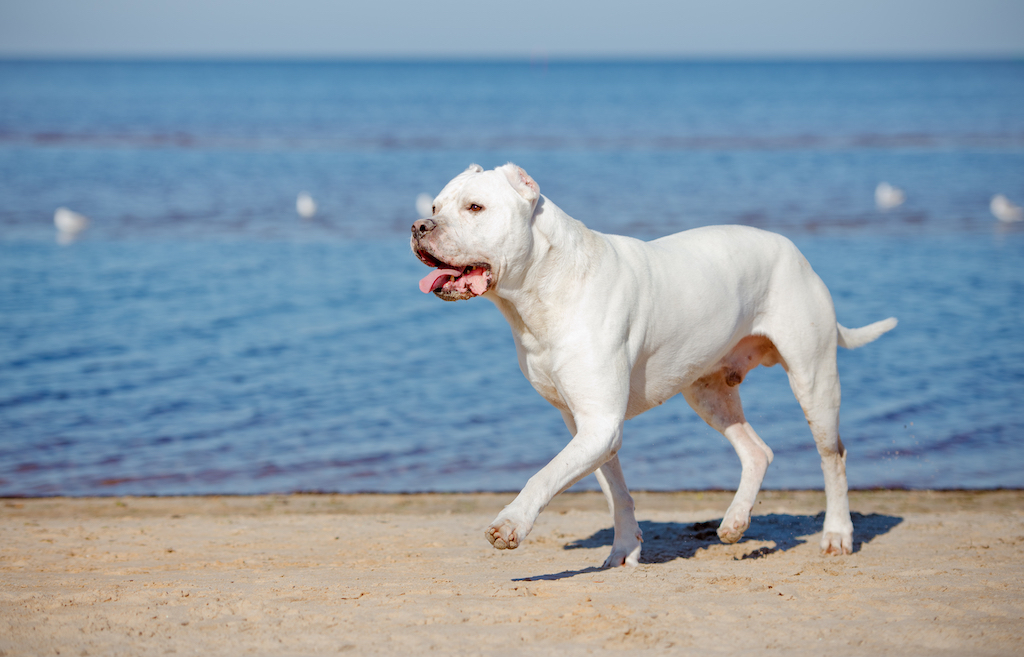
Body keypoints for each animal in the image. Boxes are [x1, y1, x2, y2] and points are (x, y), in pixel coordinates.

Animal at [411, 162, 892, 564]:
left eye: (475, 207)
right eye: (434, 206)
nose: (418, 225)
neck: (545, 288)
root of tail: (797, 252)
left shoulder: (600, 424)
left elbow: (543, 476)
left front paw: (511, 523)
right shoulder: (586, 426)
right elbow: (615, 492)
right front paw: (624, 550)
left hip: (813, 380)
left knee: (832, 456)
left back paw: (837, 534)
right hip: (707, 391)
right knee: (757, 451)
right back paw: (735, 523)